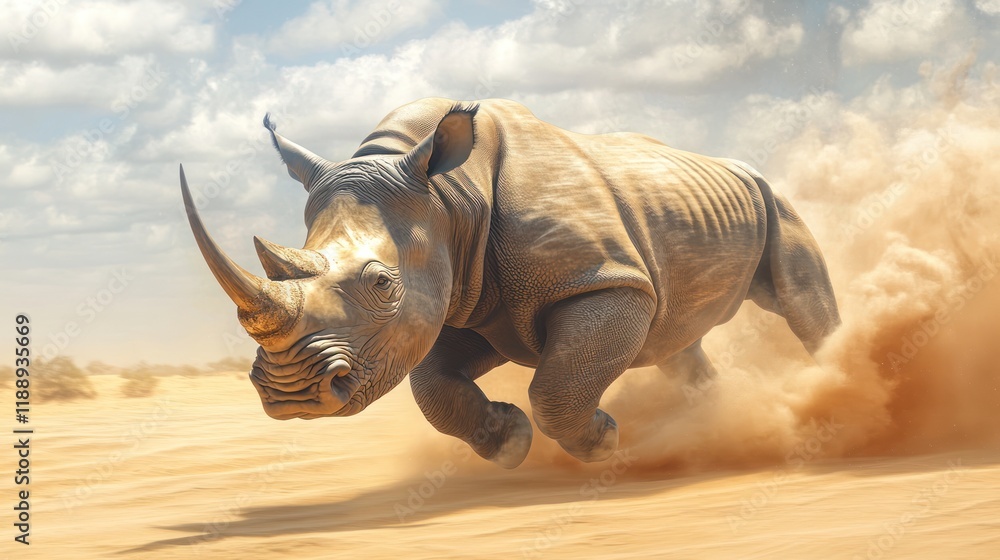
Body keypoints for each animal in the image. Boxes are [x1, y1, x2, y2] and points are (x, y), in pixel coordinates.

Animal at [179, 98, 840, 468]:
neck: (447, 197)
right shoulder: (461, 301)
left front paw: (602, 441)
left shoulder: (604, 282)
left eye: (382, 284)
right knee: (675, 344)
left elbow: (555, 387)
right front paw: (509, 443)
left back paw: (832, 385)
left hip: (771, 198)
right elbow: (432, 386)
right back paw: (709, 419)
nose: (292, 395)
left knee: (801, 304)